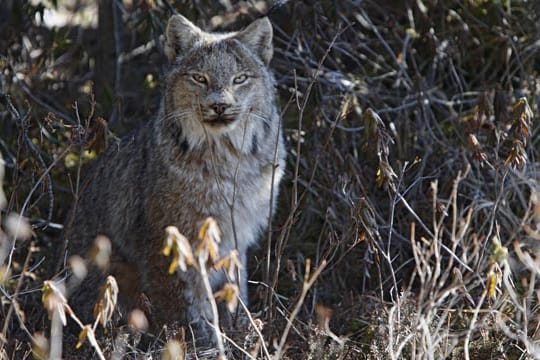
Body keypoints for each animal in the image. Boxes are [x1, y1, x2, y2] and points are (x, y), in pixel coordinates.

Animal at [65, 13, 284, 340]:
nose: (220, 105)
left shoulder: (236, 234)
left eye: (240, 79)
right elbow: (182, 304)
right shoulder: (169, 238)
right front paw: (199, 341)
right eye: (199, 78)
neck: (228, 154)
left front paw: (239, 329)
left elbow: (235, 285)